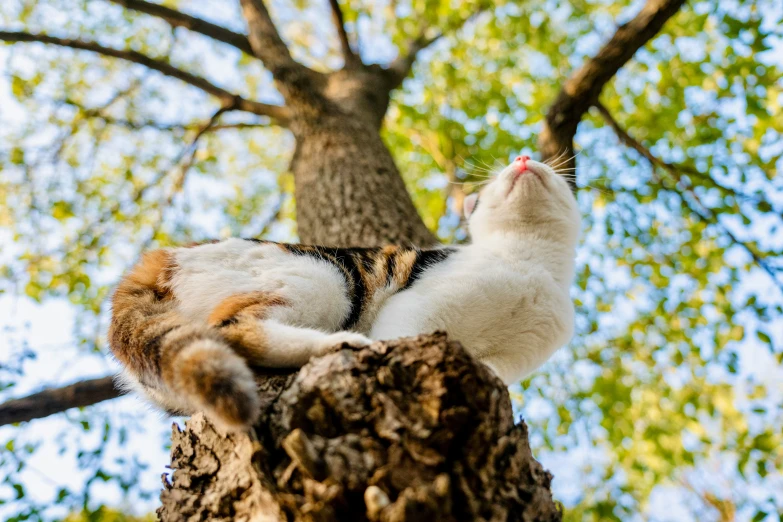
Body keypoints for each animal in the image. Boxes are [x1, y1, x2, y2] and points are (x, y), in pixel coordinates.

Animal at [107, 154, 580, 426]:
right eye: (498, 178)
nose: (523, 157)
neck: (528, 259)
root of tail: (156, 259)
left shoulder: (515, 356)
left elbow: (495, 373)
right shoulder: (416, 301)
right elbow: (402, 334)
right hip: (326, 278)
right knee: (234, 325)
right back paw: (342, 342)